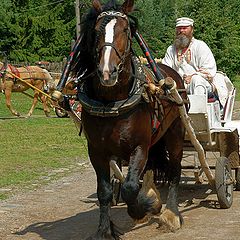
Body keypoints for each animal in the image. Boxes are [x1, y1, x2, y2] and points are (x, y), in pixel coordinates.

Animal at [65, 0, 188, 239]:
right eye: (96, 31)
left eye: (125, 30)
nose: (107, 72)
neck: (112, 103)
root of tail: (170, 72)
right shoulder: (97, 151)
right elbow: (104, 192)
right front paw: (104, 230)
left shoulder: (139, 146)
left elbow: (130, 187)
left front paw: (143, 208)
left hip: (176, 134)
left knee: (174, 171)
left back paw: (171, 213)